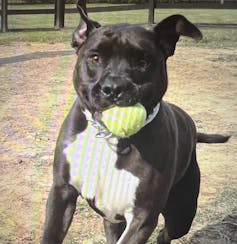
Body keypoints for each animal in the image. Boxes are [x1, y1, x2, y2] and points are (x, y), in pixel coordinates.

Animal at [41, 2, 229, 244]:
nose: (113, 87)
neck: (110, 139)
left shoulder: (143, 216)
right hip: (114, 218)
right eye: (95, 58)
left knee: (166, 232)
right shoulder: (61, 193)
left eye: (143, 62)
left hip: (182, 214)